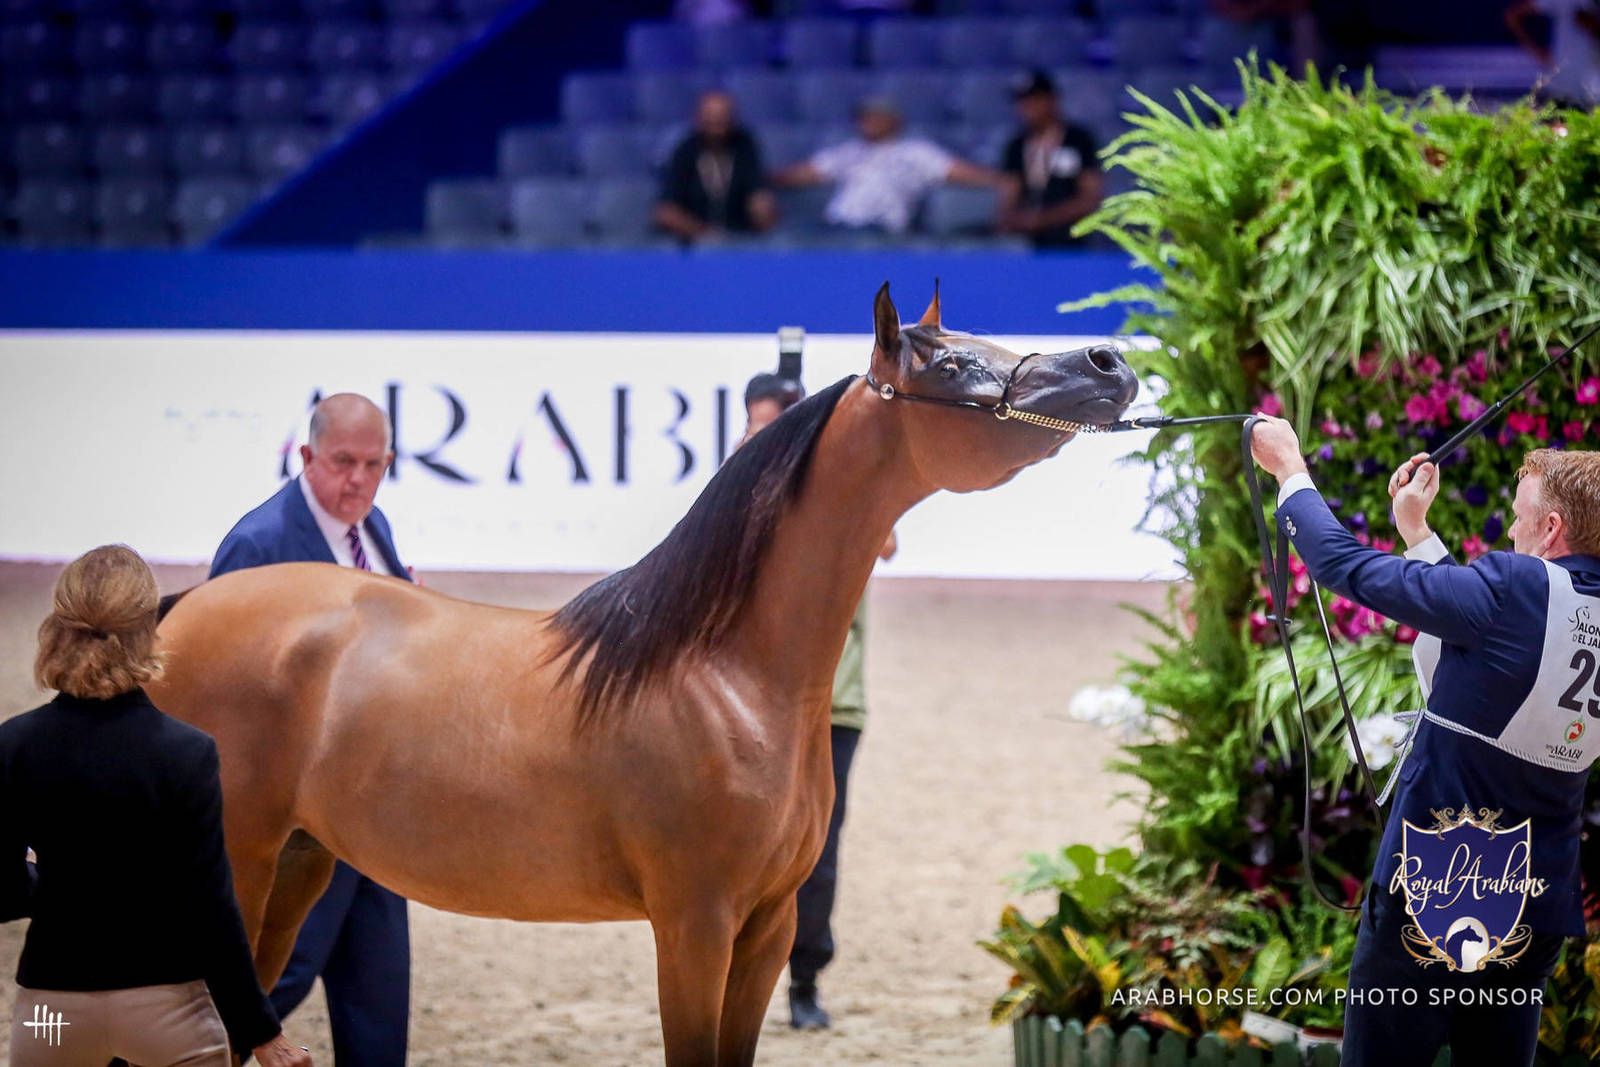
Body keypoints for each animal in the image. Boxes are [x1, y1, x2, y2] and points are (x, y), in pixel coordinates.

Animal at [147, 282, 1138, 1066]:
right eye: (955, 364)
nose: (1109, 362)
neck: (726, 678)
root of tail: (175, 619)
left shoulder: (768, 926)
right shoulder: (694, 924)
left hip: (297, 864)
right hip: (238, 867)